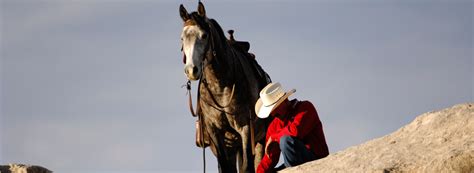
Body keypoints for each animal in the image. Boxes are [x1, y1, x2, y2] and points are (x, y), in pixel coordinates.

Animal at [180, 2, 272, 172]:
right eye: (182, 38)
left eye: (204, 35)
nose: (191, 70)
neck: (221, 88)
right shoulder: (215, 133)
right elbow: (225, 167)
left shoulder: (245, 128)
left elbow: (247, 167)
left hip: (258, 140)